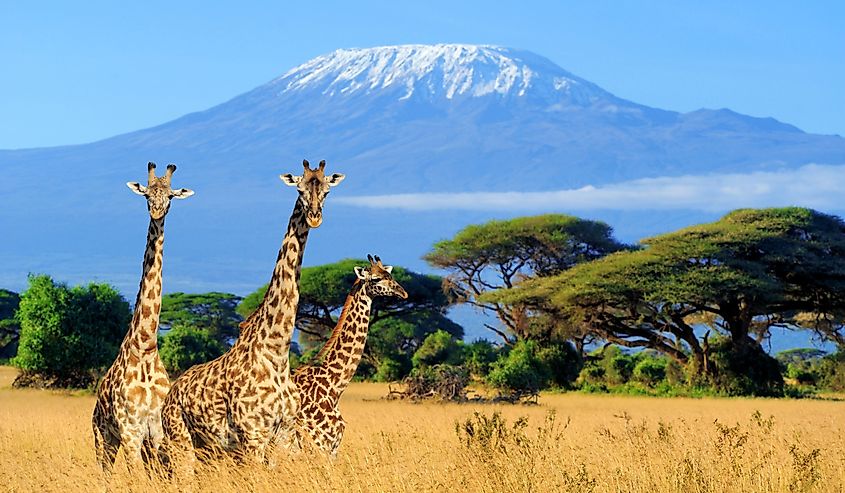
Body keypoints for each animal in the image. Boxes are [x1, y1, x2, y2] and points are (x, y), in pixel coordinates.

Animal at [91, 161, 194, 476]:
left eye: (170, 196)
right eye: (147, 194)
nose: (157, 212)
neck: (146, 345)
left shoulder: (156, 431)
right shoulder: (130, 431)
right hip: (103, 436)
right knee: (105, 474)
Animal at [160, 160, 344, 468]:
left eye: (327, 191)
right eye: (299, 189)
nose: (315, 217)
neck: (277, 351)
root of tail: (171, 394)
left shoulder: (284, 435)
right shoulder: (253, 436)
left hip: (209, 449)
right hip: (181, 442)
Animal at [290, 254, 408, 458]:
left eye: (390, 275)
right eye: (375, 279)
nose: (404, 293)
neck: (334, 385)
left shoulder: (332, 445)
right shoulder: (321, 441)